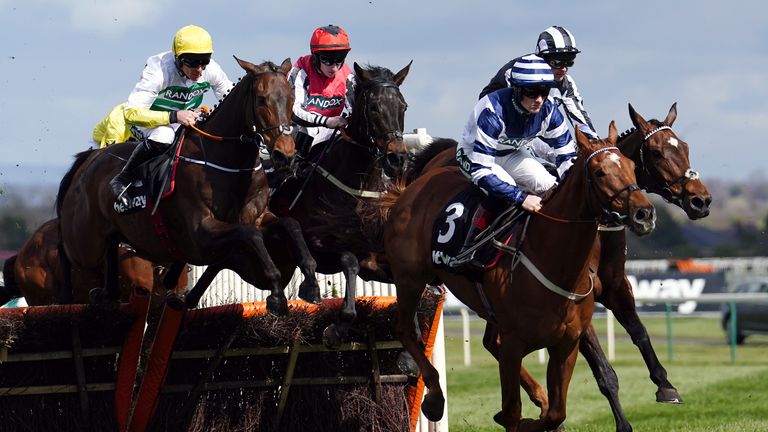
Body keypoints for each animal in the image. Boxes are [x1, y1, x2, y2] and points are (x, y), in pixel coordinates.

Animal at [54, 57, 316, 316]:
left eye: (292, 98)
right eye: (261, 99)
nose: (285, 154)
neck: (227, 164)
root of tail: (91, 157)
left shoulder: (258, 217)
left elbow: (290, 224)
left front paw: (310, 283)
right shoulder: (201, 233)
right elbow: (250, 235)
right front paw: (277, 296)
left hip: (109, 234)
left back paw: (108, 293)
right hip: (84, 242)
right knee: (63, 247)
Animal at [184, 60, 414, 346]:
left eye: (403, 106)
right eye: (374, 107)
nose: (398, 159)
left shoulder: (370, 261)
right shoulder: (319, 247)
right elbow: (348, 260)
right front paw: (335, 325)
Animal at [378, 122, 656, 432]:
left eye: (631, 166)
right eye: (599, 172)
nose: (644, 213)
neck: (554, 260)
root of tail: (412, 188)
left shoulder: (566, 344)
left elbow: (556, 412)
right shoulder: (513, 345)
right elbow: (513, 411)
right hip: (410, 277)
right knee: (404, 328)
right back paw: (435, 398)